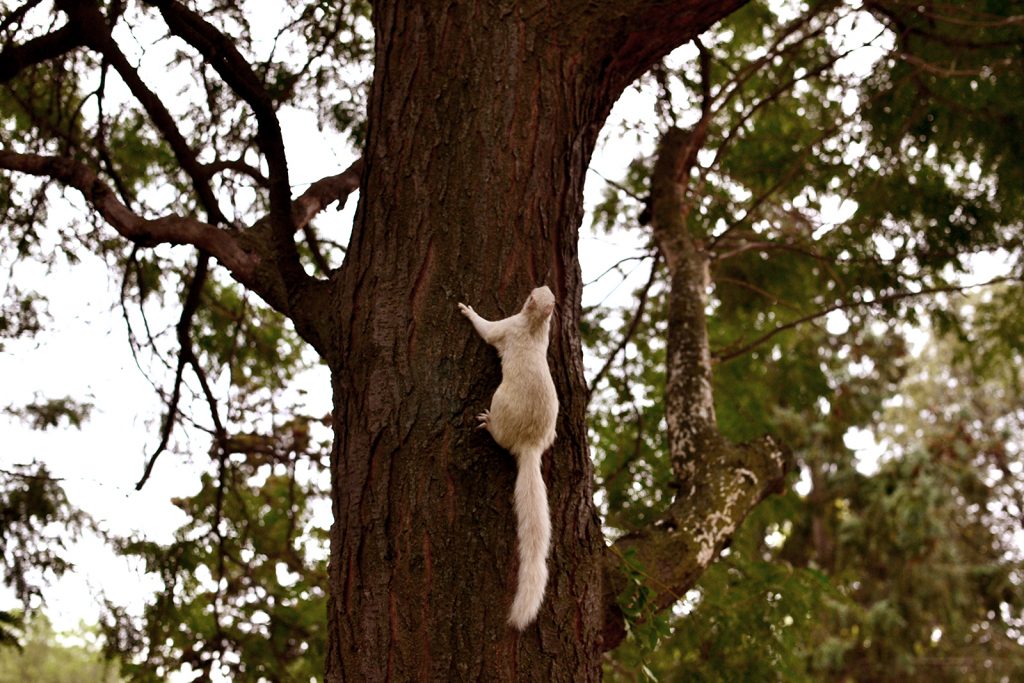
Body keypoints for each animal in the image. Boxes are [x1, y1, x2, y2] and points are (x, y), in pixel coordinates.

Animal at [460, 284, 561, 630]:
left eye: (532, 296)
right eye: (545, 295)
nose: (538, 285)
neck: (534, 324)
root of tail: (530, 444)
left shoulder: (507, 327)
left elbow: (487, 330)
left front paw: (468, 311)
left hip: (501, 405)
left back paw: (489, 424)